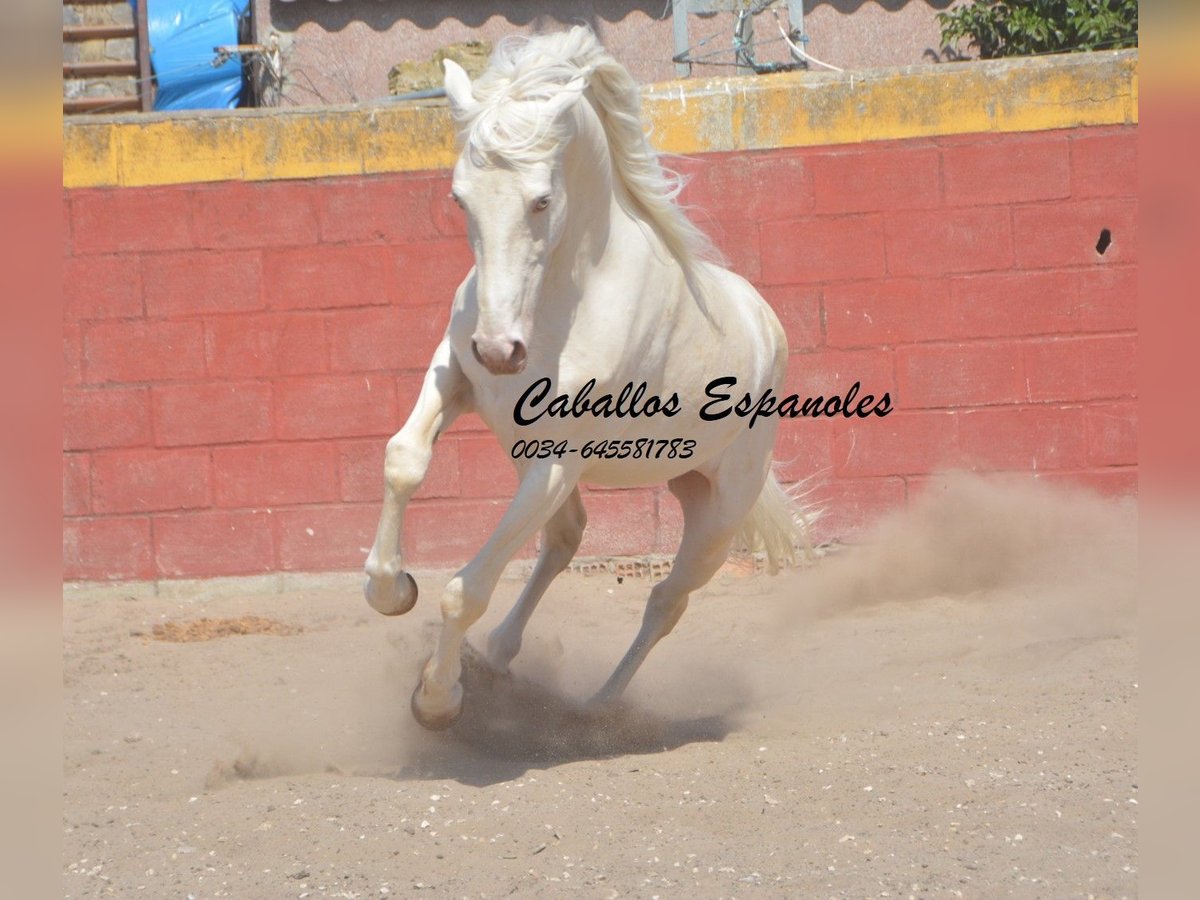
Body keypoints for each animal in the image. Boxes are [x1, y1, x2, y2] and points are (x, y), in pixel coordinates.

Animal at [355, 28, 806, 734]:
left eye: (541, 198)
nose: (499, 351)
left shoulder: (560, 459)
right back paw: (500, 658)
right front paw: (391, 590)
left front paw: (437, 700)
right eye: (459, 197)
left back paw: (597, 707)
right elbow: (403, 459)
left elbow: (465, 591)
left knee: (666, 601)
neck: (560, 303)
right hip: (609, 472)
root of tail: (766, 324)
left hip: (719, 514)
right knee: (566, 540)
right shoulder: (456, 377)